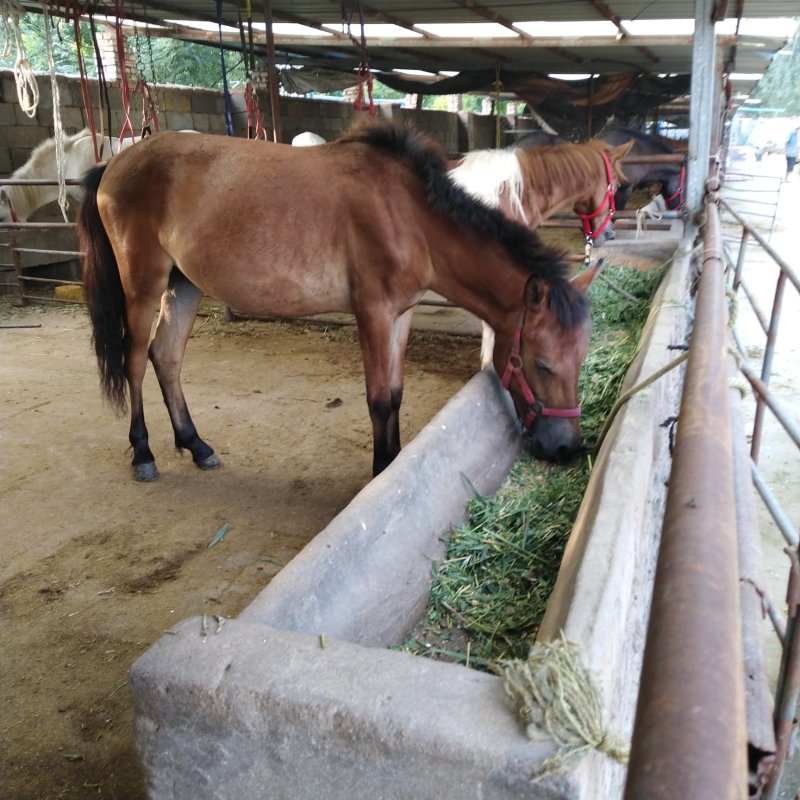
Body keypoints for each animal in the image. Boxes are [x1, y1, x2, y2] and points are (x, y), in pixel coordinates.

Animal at [77, 122, 599, 481]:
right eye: (543, 364)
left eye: (580, 359)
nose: (565, 449)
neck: (410, 217)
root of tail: (113, 166)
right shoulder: (373, 314)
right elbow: (378, 400)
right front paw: (381, 471)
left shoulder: (400, 316)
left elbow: (395, 393)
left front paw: (391, 464)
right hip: (143, 284)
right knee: (134, 360)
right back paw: (143, 453)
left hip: (184, 283)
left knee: (166, 357)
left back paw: (196, 445)